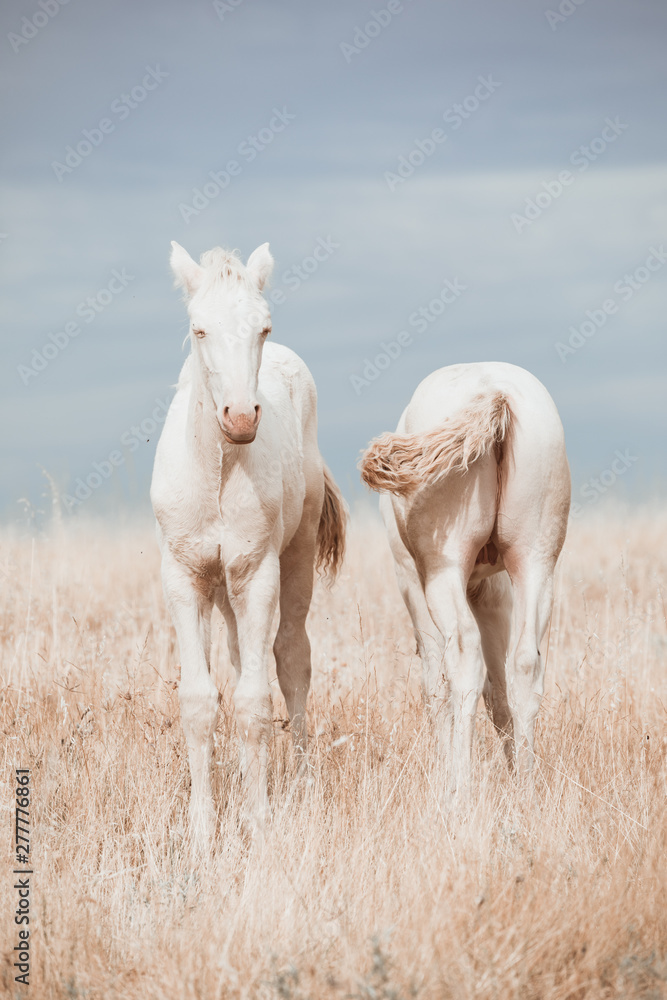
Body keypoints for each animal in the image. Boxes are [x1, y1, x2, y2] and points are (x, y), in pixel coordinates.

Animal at [151, 240, 346, 846]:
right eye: (199, 329)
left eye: (263, 328)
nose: (239, 417)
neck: (218, 469)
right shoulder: (184, 577)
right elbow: (199, 700)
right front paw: (202, 829)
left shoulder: (258, 574)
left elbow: (257, 703)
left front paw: (257, 822)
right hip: (224, 590)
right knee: (241, 662)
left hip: (293, 559)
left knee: (291, 661)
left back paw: (301, 783)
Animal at [359, 362, 570, 799]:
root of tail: (494, 392)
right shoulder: (491, 593)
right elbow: (499, 693)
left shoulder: (412, 581)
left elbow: (435, 684)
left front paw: (444, 772)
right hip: (535, 562)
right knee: (524, 665)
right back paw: (526, 790)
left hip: (443, 570)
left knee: (463, 657)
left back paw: (459, 787)